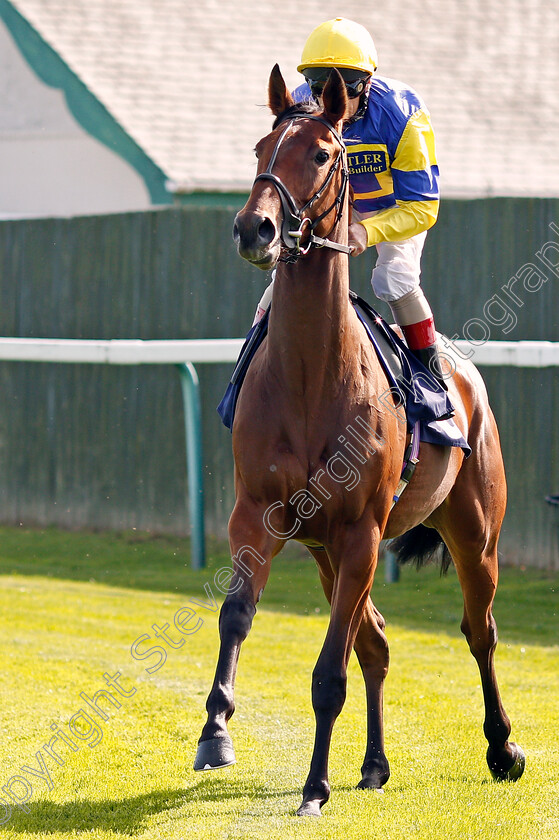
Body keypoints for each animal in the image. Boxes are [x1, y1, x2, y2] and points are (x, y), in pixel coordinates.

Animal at [196, 67, 524, 820]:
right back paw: (374, 764)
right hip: (326, 551)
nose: (254, 227)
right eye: (259, 147)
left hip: (472, 534)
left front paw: (314, 786)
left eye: (322, 154)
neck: (311, 375)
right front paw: (215, 732)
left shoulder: (360, 533)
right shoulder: (258, 514)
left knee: (479, 632)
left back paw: (501, 747)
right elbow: (236, 615)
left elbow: (328, 671)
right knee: (374, 643)